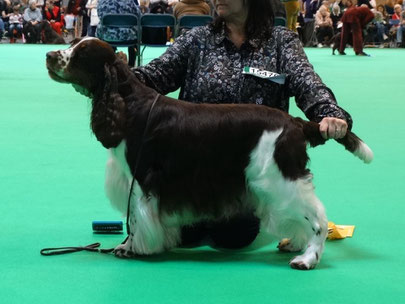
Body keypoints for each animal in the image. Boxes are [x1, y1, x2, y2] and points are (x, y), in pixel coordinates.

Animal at [45, 37, 372, 268]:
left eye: (80, 54)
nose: (48, 56)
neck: (129, 104)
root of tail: (296, 122)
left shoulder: (142, 179)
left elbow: (136, 218)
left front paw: (131, 248)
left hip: (278, 177)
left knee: (317, 218)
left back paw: (307, 258)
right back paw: (294, 243)